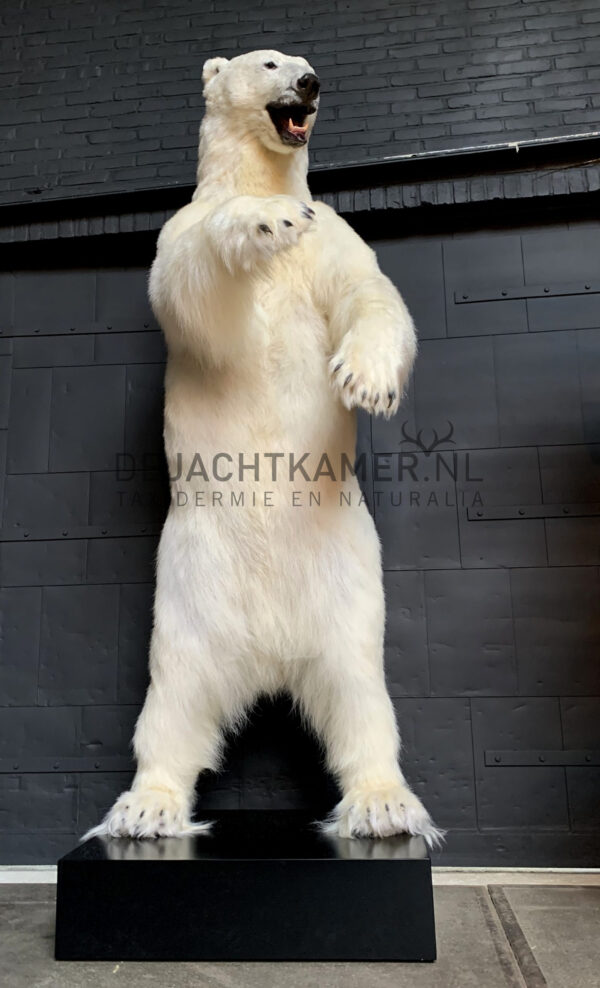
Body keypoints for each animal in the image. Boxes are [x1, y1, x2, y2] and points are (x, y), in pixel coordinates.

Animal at [85, 50, 440, 844]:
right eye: (271, 61)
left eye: (307, 63)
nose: (309, 82)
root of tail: (271, 660)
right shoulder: (180, 229)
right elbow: (197, 291)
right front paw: (266, 217)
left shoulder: (335, 242)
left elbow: (371, 295)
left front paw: (366, 380)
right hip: (186, 606)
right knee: (173, 704)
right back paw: (146, 807)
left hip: (348, 594)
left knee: (361, 696)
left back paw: (385, 803)